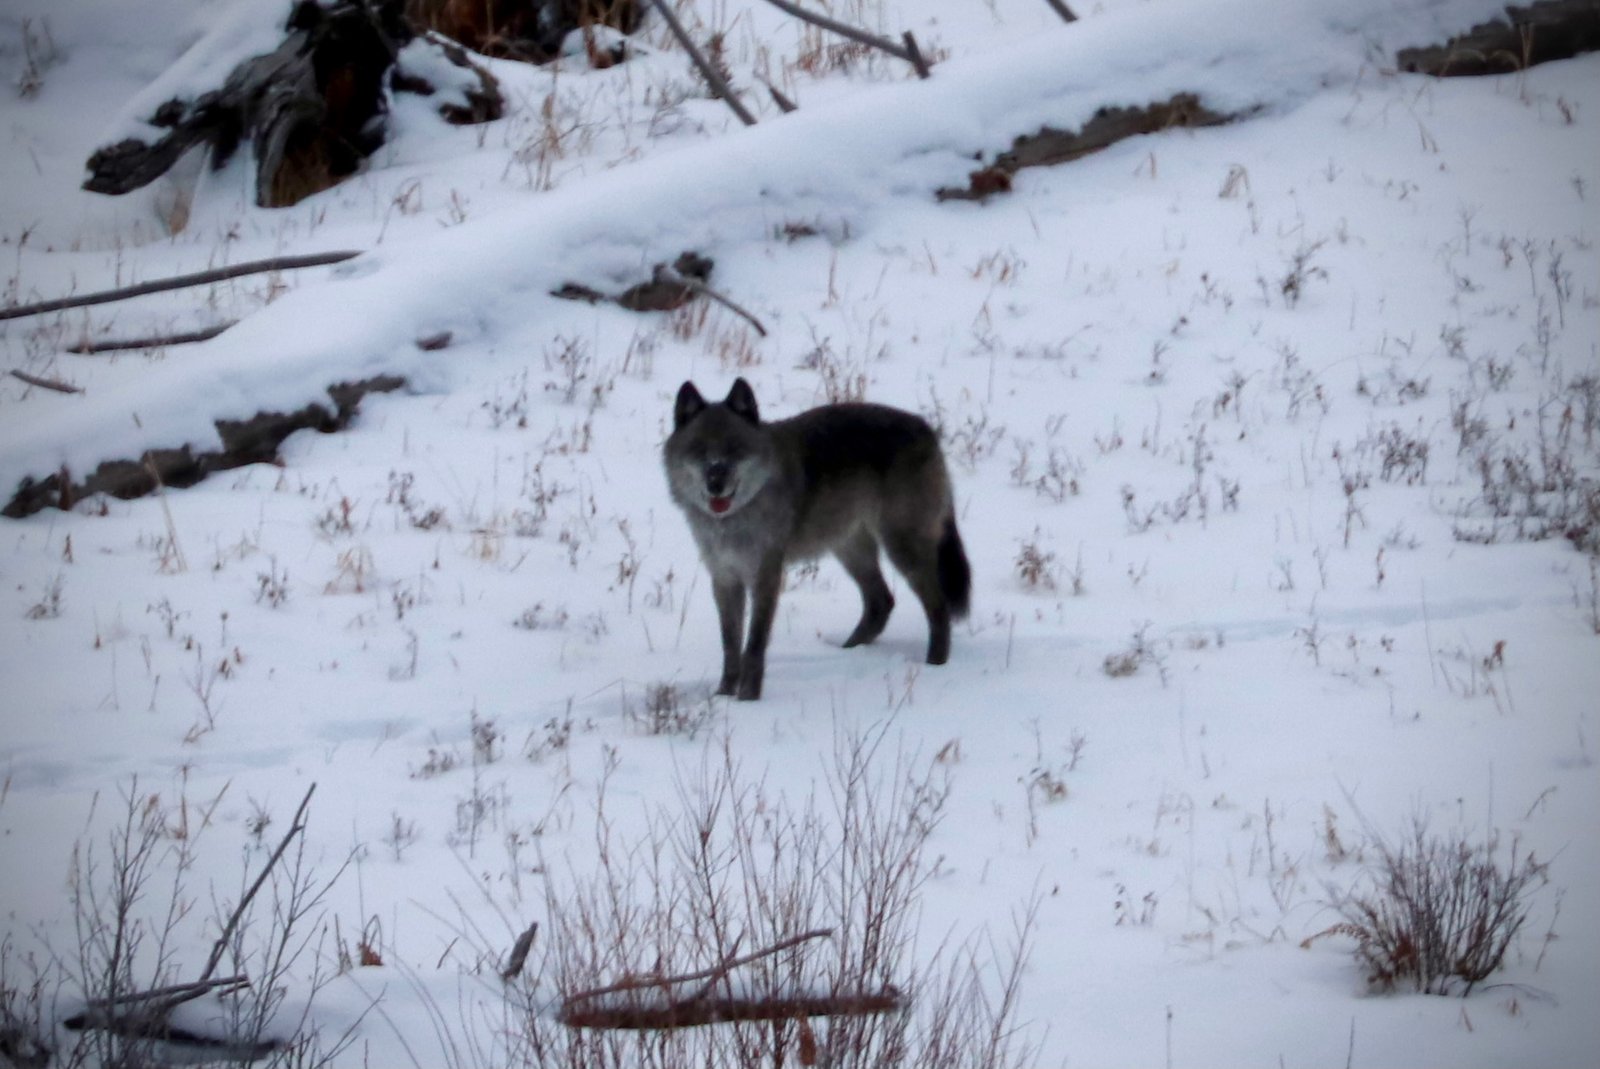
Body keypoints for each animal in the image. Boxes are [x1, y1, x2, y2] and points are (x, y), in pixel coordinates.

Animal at [664, 378, 971, 700]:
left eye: (734, 448)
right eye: (699, 450)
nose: (715, 484)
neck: (734, 520)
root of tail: (927, 428)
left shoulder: (765, 577)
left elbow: (754, 644)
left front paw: (748, 699)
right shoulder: (724, 579)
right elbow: (730, 645)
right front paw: (724, 695)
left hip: (900, 548)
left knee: (938, 608)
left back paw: (935, 666)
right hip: (849, 549)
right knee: (881, 601)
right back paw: (849, 653)